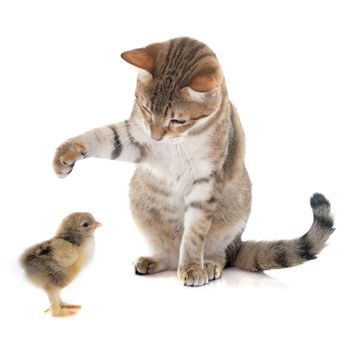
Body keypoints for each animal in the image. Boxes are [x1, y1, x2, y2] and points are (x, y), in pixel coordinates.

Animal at [52, 37, 334, 286]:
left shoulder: (206, 181)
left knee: (219, 254)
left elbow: (195, 234)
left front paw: (191, 267)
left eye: (178, 120)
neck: (180, 141)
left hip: (233, 222)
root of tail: (238, 245)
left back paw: (208, 264)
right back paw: (155, 261)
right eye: (145, 108)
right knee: (169, 252)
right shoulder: (137, 138)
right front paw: (66, 155)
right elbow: (103, 136)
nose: (156, 135)